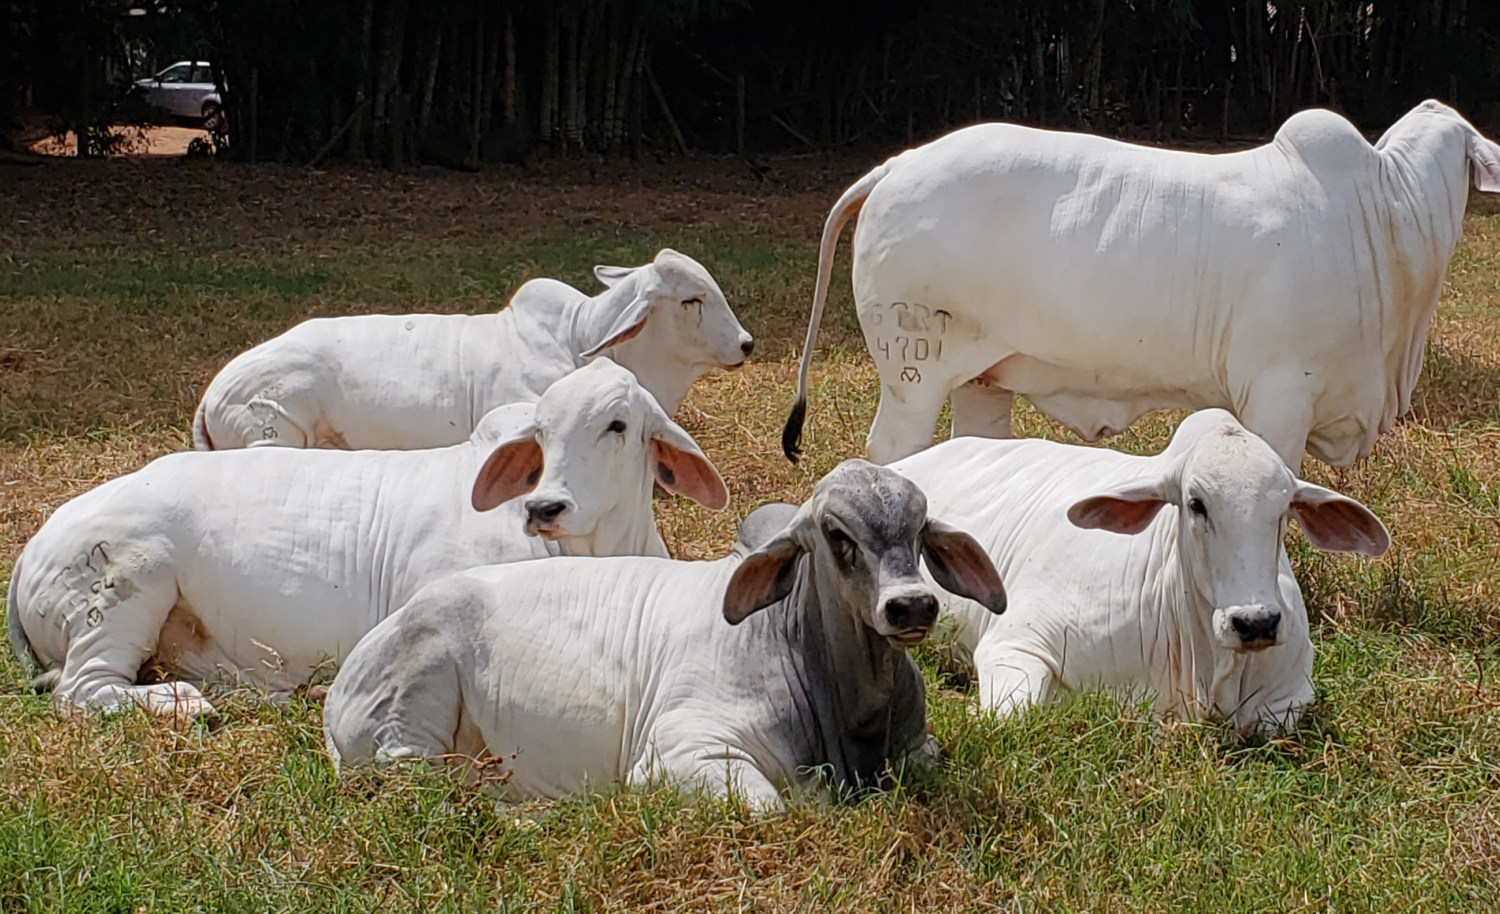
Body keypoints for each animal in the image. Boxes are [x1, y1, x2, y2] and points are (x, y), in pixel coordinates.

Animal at [4, 358, 720, 720]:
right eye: (539, 433)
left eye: (618, 425)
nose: (546, 506)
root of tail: (35, 548)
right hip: (130, 579)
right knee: (82, 690)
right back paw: (179, 703)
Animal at [327, 459, 1008, 810]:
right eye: (838, 536)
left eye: (919, 531)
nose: (912, 606)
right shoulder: (683, 752)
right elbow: (774, 807)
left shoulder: (920, 749)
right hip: (412, 713)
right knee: (422, 783)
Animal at [786, 99, 1500, 468]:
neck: (1385, 213)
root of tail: (897, 165)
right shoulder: (1280, 393)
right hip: (914, 375)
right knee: (891, 450)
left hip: (982, 377)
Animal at [888, 411, 1392, 738]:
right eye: (1196, 503)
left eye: (1284, 509)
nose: (1256, 622)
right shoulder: (1016, 642)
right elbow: (1013, 716)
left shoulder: (1290, 699)